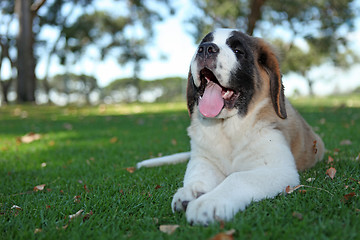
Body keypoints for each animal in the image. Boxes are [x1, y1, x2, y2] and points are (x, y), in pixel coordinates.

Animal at [136, 29, 324, 226]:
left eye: (237, 51)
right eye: (202, 44)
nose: (205, 49)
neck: (227, 127)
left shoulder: (278, 169)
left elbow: (237, 178)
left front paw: (209, 202)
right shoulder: (203, 158)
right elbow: (197, 173)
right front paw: (192, 190)